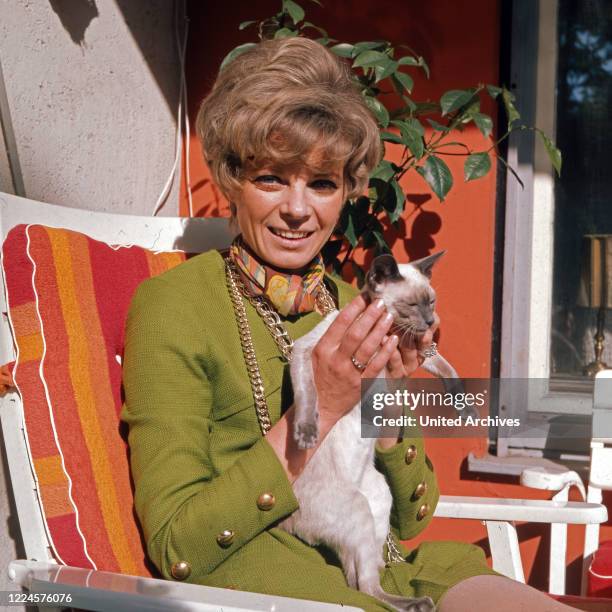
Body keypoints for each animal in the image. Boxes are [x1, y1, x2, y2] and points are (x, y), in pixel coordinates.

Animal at [278, 252, 460, 612]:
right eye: (411, 305)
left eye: (431, 302)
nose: (431, 322)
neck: (390, 334)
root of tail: (292, 521)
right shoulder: (307, 353)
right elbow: (308, 395)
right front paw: (306, 433)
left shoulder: (418, 350)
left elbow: (447, 368)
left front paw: (464, 404)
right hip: (359, 510)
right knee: (365, 587)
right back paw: (416, 603)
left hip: (378, 499)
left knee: (361, 578)